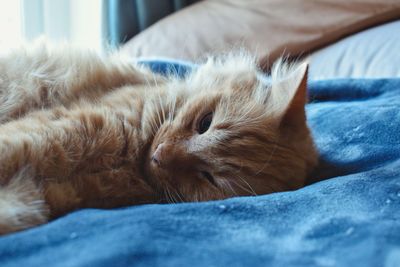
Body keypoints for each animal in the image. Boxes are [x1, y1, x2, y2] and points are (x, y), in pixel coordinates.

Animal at [0, 43, 318, 236]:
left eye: (208, 177)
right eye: (205, 123)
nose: (160, 155)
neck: (129, 162)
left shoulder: (50, 192)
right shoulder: (66, 128)